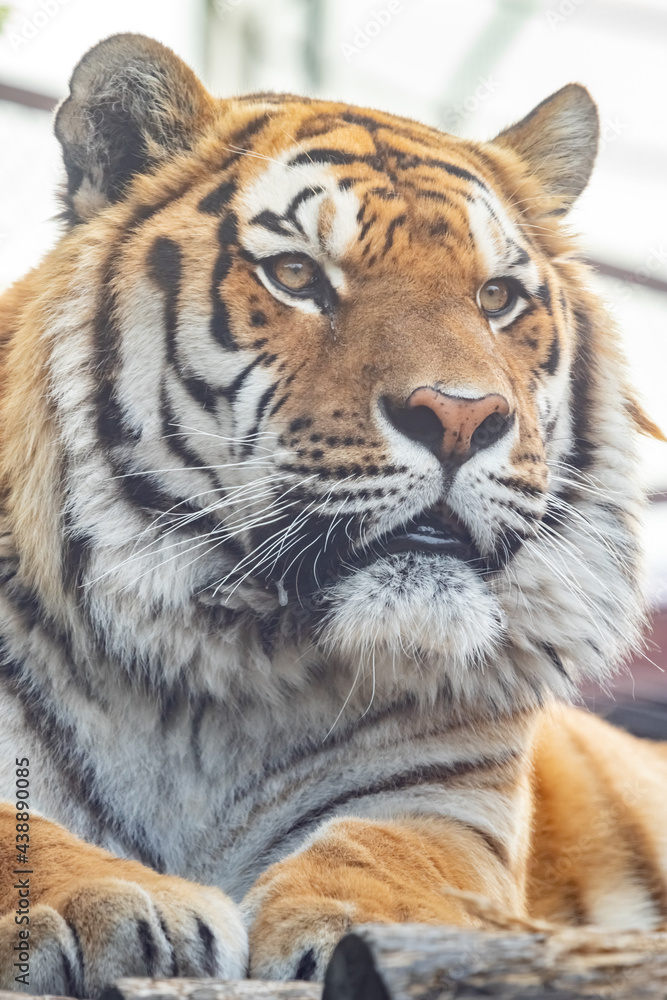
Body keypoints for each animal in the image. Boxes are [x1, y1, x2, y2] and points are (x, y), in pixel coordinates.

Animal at [0, 29, 666, 997]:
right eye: (296, 276)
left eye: (496, 298)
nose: (460, 416)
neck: (208, 681)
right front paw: (116, 903)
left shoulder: (445, 802)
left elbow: (395, 856)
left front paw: (369, 925)